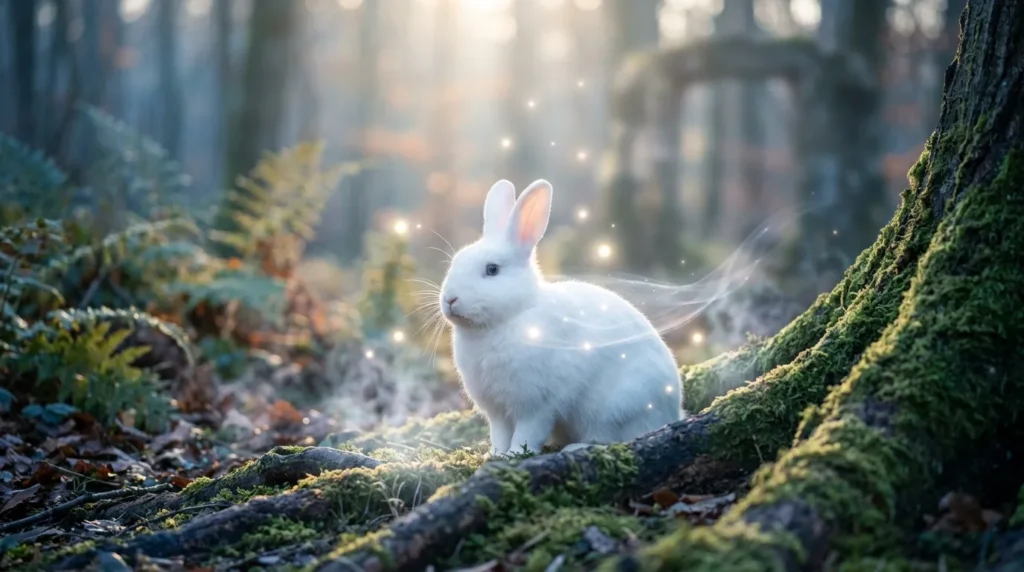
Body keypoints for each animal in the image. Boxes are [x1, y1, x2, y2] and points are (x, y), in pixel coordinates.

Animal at [439, 178, 683, 456]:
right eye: (455, 261)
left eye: (492, 269)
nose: (449, 299)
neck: (507, 319)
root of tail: (672, 412)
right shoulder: (497, 411)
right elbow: (499, 434)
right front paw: (496, 455)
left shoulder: (537, 404)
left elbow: (528, 432)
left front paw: (515, 454)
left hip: (615, 408)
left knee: (612, 439)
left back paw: (574, 447)